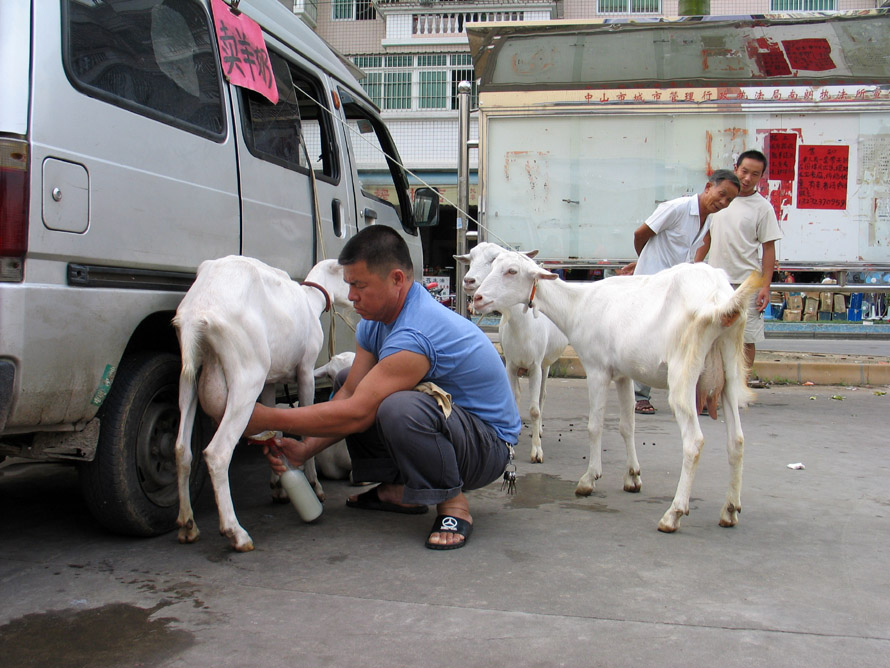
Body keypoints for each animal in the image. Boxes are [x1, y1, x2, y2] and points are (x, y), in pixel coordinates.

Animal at [173, 256, 350, 552]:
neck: (309, 300)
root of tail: (198, 314)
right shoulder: (305, 370)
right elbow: (305, 429)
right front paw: (315, 486)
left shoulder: (271, 381)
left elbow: (276, 428)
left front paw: (278, 485)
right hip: (247, 374)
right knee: (217, 453)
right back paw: (236, 533)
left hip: (189, 376)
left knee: (182, 450)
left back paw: (188, 525)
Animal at [454, 243, 564, 462]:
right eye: (470, 258)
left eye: (494, 259)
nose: (468, 281)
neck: (523, 325)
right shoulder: (511, 364)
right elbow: (512, 400)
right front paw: (511, 445)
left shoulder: (535, 365)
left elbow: (534, 410)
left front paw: (536, 451)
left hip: (546, 364)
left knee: (542, 396)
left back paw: (538, 431)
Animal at [472, 253, 756, 536]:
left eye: (511, 271)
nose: (477, 298)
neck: (577, 305)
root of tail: (719, 297)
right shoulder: (623, 374)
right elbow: (626, 426)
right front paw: (633, 477)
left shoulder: (597, 369)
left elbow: (594, 426)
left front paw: (589, 479)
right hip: (729, 370)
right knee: (737, 440)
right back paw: (730, 510)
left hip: (684, 371)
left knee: (694, 441)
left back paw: (674, 514)